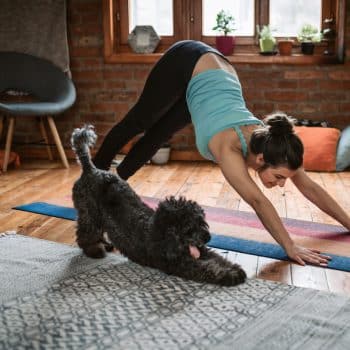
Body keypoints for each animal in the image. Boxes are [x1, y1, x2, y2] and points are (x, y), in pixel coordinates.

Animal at [70, 124, 246, 286]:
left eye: (202, 222)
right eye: (189, 227)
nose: (208, 237)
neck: (161, 232)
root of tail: (90, 169)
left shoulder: (201, 251)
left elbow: (217, 258)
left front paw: (235, 268)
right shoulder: (180, 264)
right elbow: (207, 269)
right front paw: (230, 275)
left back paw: (105, 244)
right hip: (89, 213)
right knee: (84, 234)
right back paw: (94, 250)